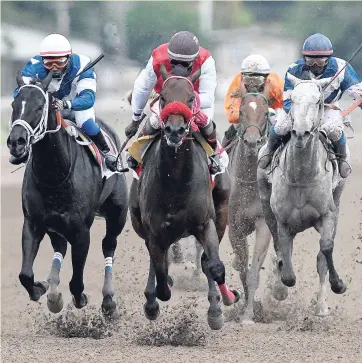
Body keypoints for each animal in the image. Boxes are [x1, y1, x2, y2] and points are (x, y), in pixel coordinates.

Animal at [6, 72, 129, 318]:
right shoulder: (33, 223)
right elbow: (25, 275)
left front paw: (80, 298)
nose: (16, 142)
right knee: (60, 247)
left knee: (108, 245)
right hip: (55, 226)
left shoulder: (81, 230)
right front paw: (41, 288)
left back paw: (108, 300)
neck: (55, 173)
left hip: (117, 213)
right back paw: (52, 292)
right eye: (14, 105)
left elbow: (76, 281)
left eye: (40, 106)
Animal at [129, 67, 239, 332]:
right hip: (140, 222)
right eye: (163, 97)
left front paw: (221, 306)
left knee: (207, 261)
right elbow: (160, 276)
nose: (175, 130)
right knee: (155, 261)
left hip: (221, 211)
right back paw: (152, 299)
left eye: (191, 98)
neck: (176, 180)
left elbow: (214, 265)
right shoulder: (155, 230)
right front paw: (155, 298)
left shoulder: (206, 223)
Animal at [258, 74, 348, 316]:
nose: (300, 133)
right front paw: (280, 287)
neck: (301, 176)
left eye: (318, 100)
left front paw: (338, 285)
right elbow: (286, 267)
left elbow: (325, 249)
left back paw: (321, 306)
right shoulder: (282, 221)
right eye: (294, 100)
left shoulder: (328, 214)